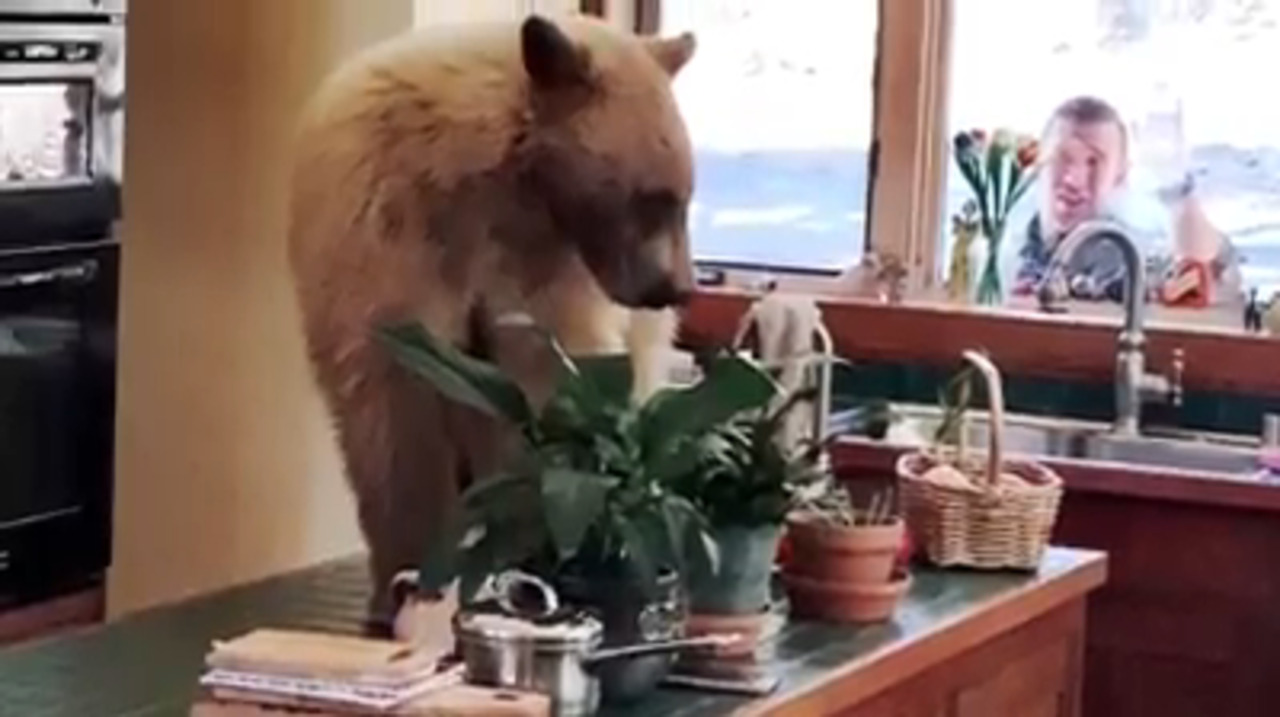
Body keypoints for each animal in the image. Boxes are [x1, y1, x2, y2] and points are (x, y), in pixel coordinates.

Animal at [285, 13, 699, 634]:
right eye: (653, 197)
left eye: (685, 196)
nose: (676, 288)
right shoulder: (387, 239)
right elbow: (394, 409)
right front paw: (409, 577)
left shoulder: (547, 276)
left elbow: (543, 385)